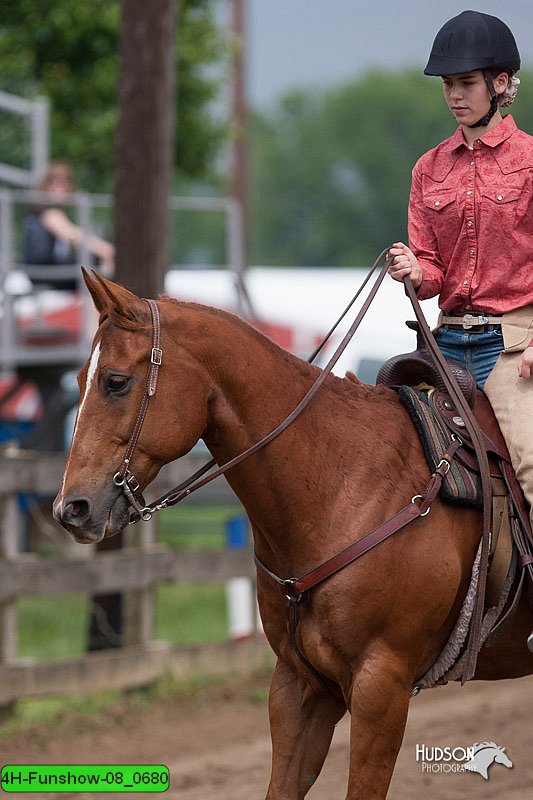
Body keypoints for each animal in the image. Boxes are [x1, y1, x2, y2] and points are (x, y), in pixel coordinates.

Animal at [56, 274, 528, 800]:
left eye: (115, 381)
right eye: (79, 379)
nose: (71, 508)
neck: (342, 484)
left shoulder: (381, 687)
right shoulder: (298, 686)